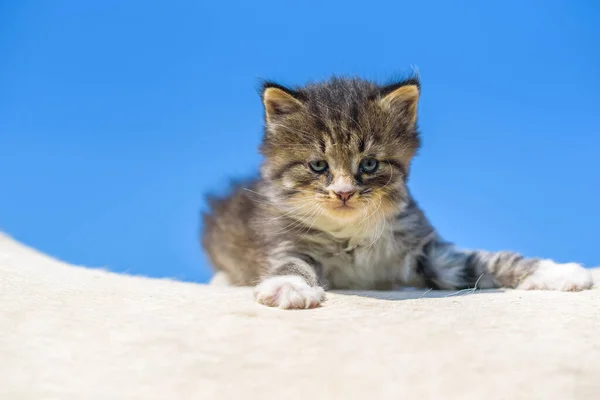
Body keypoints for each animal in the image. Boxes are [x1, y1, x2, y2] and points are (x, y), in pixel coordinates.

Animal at [200, 75, 592, 310]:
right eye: (318, 166)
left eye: (369, 165)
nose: (344, 193)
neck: (351, 233)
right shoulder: (282, 238)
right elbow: (290, 262)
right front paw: (289, 287)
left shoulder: (426, 249)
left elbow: (489, 260)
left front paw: (559, 272)